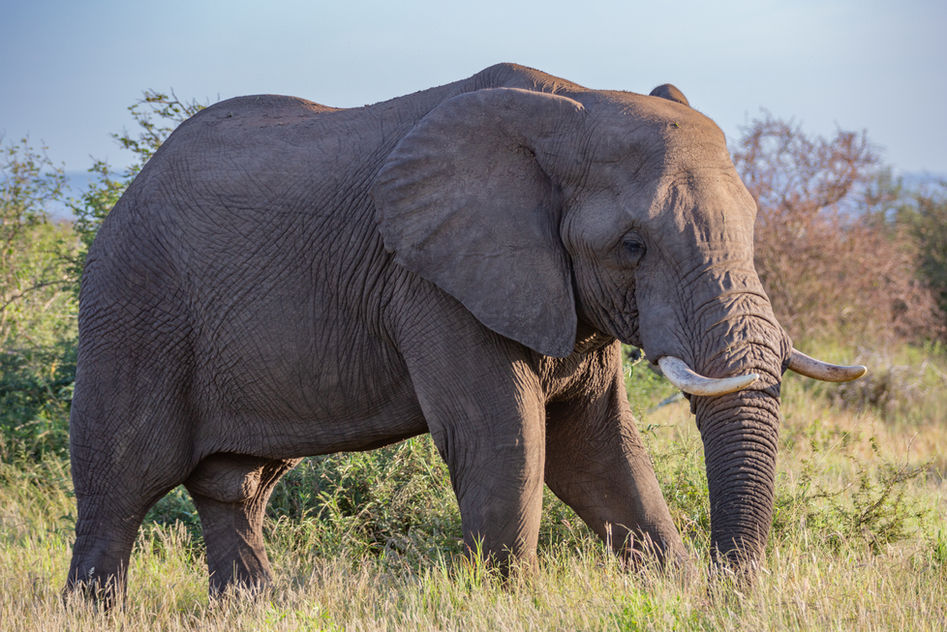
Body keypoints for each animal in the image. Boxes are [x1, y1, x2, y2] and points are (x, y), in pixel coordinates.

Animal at [65, 63, 865, 601]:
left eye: (754, 224)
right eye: (632, 246)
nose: (728, 586)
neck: (568, 106)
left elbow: (599, 447)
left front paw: (672, 590)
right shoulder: (432, 282)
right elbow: (505, 436)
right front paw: (513, 604)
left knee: (236, 486)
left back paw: (251, 609)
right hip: (132, 303)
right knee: (119, 485)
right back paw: (95, 610)